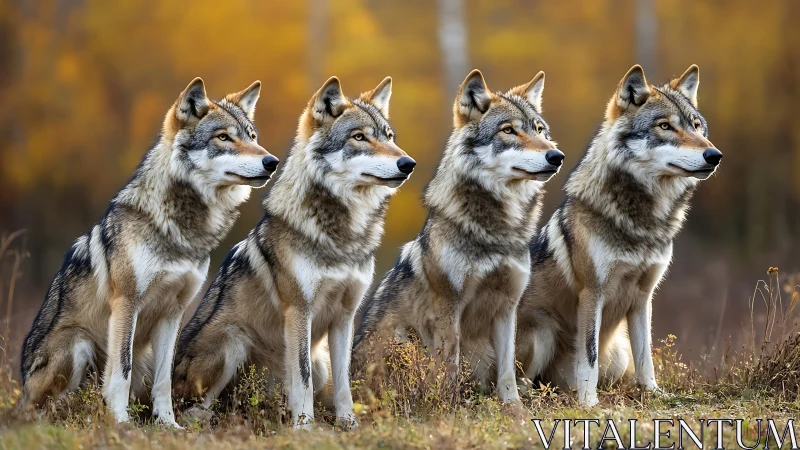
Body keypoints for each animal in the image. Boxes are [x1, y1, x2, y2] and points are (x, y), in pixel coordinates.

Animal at [20, 78, 278, 427]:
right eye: (223, 137)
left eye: (252, 137)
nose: (272, 162)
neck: (181, 229)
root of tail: (22, 384)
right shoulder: (127, 303)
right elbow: (121, 372)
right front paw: (120, 423)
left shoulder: (174, 312)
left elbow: (164, 380)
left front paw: (168, 424)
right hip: (77, 345)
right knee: (48, 408)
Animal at [173, 76, 414, 429]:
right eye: (359, 137)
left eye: (389, 137)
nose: (408, 164)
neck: (341, 235)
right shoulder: (299, 310)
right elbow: (301, 377)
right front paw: (305, 427)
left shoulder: (345, 317)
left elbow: (344, 384)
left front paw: (348, 425)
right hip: (232, 342)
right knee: (197, 407)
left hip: (319, 361)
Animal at [354, 69, 564, 403]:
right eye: (508, 130)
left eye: (540, 130)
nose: (556, 156)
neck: (495, 230)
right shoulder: (448, 305)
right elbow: (450, 363)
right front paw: (449, 406)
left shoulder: (508, 306)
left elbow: (506, 372)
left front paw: (513, 409)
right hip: (402, 335)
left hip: (542, 332)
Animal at [515, 65, 723, 406]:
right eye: (665, 126)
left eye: (695, 126)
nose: (714, 154)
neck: (641, 221)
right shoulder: (592, 294)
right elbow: (588, 357)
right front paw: (588, 403)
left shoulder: (643, 297)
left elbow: (646, 356)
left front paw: (653, 393)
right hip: (541, 332)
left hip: (618, 353)